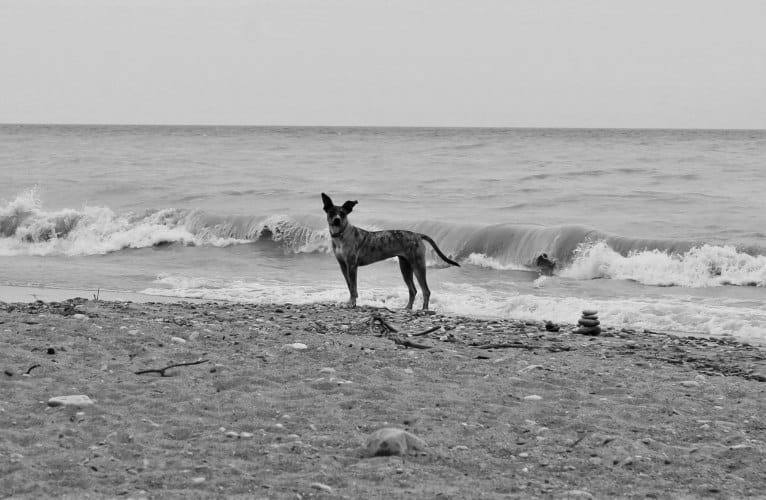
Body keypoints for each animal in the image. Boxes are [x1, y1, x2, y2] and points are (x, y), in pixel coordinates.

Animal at [320, 193, 460, 310]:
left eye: (343, 213)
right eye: (331, 212)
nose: (337, 220)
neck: (341, 235)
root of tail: (417, 235)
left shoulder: (352, 266)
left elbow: (353, 288)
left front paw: (352, 303)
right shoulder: (343, 266)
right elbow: (350, 286)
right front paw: (350, 302)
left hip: (418, 265)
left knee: (426, 291)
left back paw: (424, 310)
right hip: (405, 267)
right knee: (413, 290)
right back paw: (407, 308)